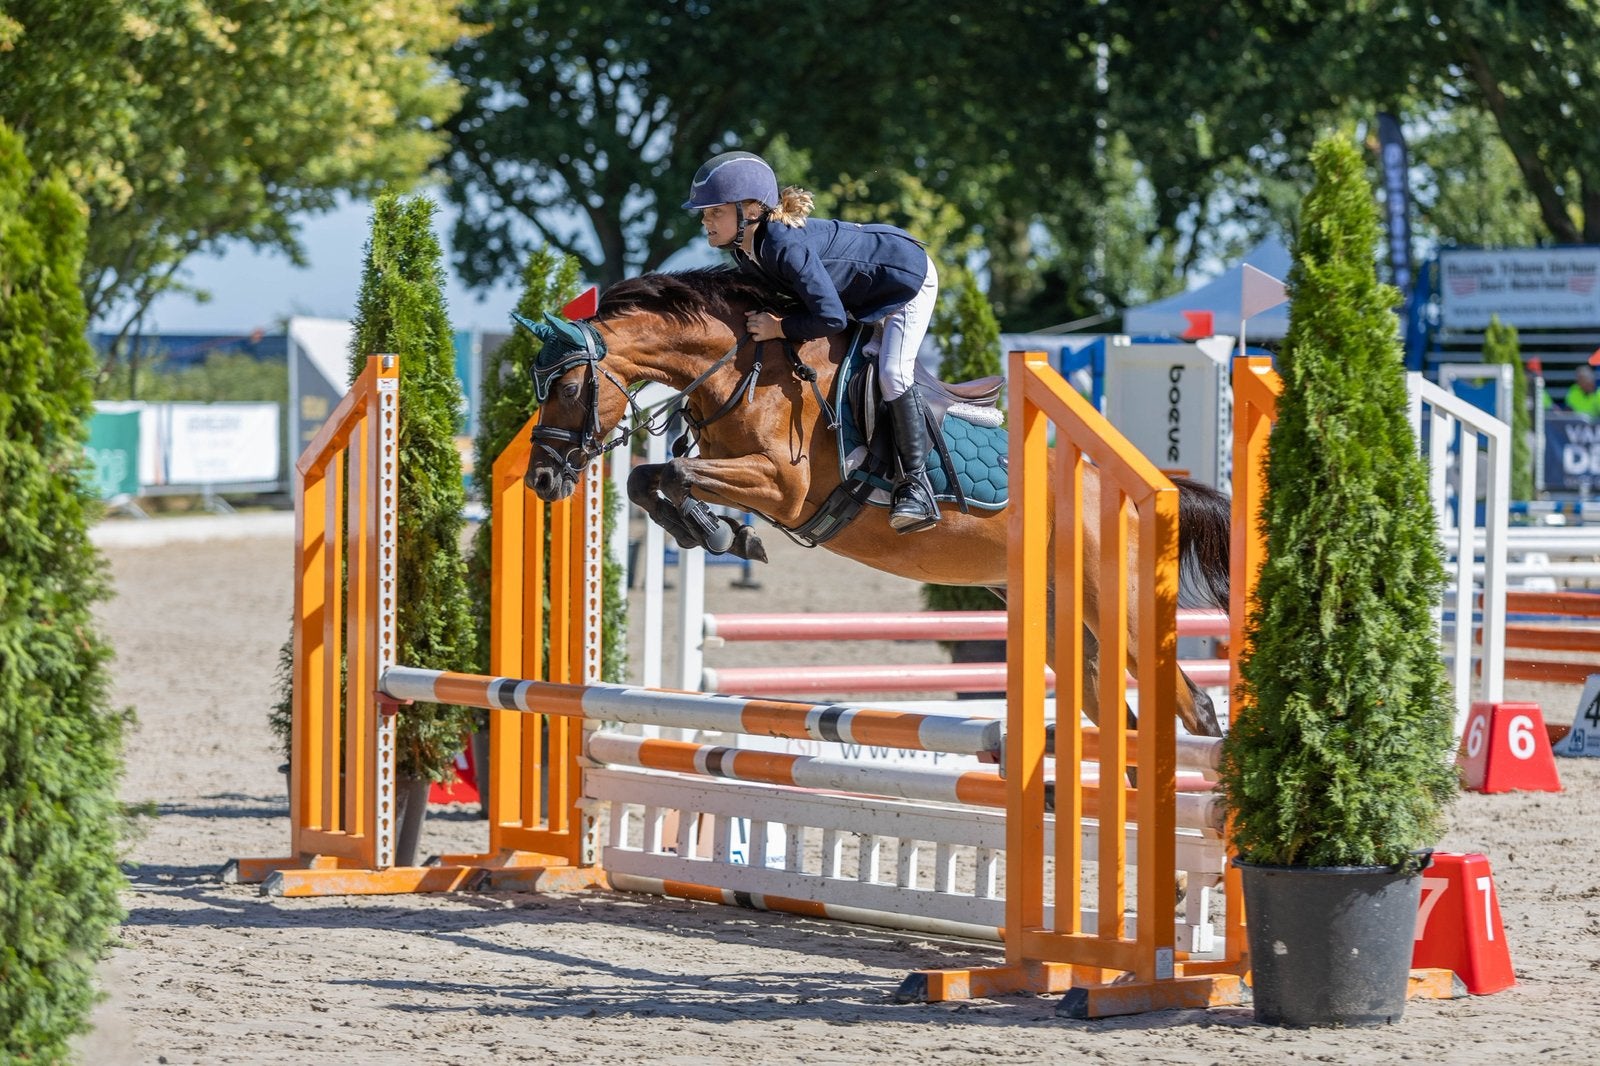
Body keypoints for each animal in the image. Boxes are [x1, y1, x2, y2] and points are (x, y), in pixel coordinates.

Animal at [518, 267, 1232, 738]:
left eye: (571, 388)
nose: (542, 482)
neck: (746, 369)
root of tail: (1154, 488)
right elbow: (650, 479)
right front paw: (716, 532)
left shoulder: (782, 486)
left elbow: (670, 473)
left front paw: (722, 533)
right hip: (1059, 614)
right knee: (1116, 716)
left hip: (1120, 608)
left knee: (1192, 706)